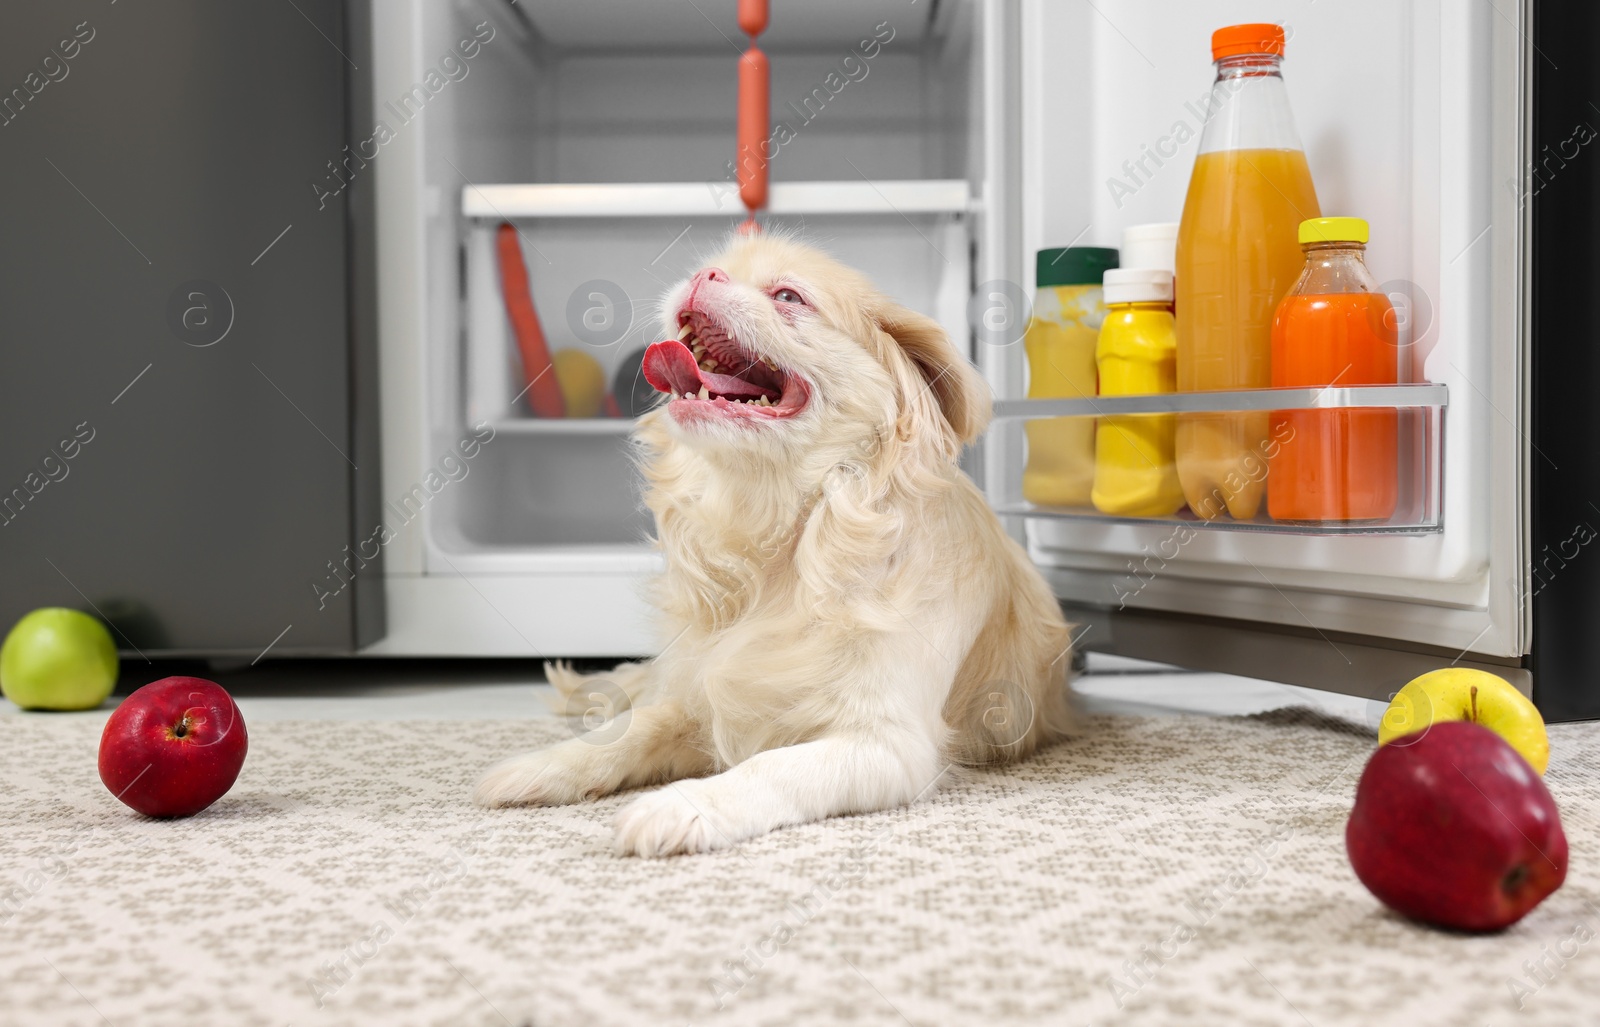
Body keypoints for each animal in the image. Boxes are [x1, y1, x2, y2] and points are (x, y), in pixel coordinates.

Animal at [473, 236, 1075, 851]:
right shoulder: (698, 698)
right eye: (711, 269)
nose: (704, 276)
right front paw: (546, 764)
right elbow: (634, 727)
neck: (783, 539)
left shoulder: (885, 747)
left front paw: (680, 805)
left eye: (788, 297)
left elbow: (769, 768)